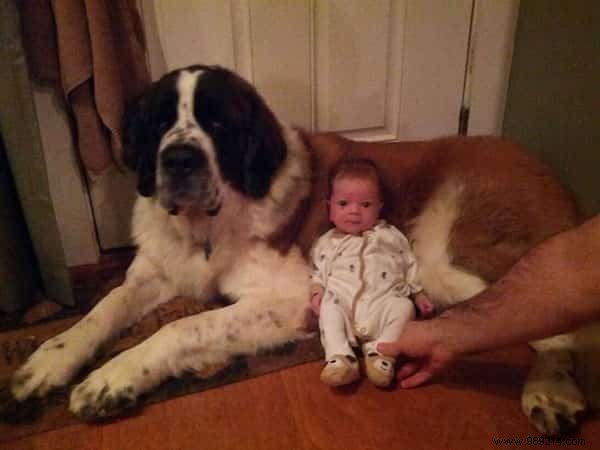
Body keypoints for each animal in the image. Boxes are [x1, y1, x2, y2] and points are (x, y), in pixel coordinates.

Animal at [9, 65, 588, 434]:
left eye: (217, 123)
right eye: (159, 122)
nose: (177, 159)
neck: (210, 225)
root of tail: (547, 170)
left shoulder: (289, 300)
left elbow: (182, 327)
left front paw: (112, 378)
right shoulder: (155, 270)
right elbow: (103, 309)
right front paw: (50, 360)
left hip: (448, 256)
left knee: (561, 324)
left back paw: (550, 390)